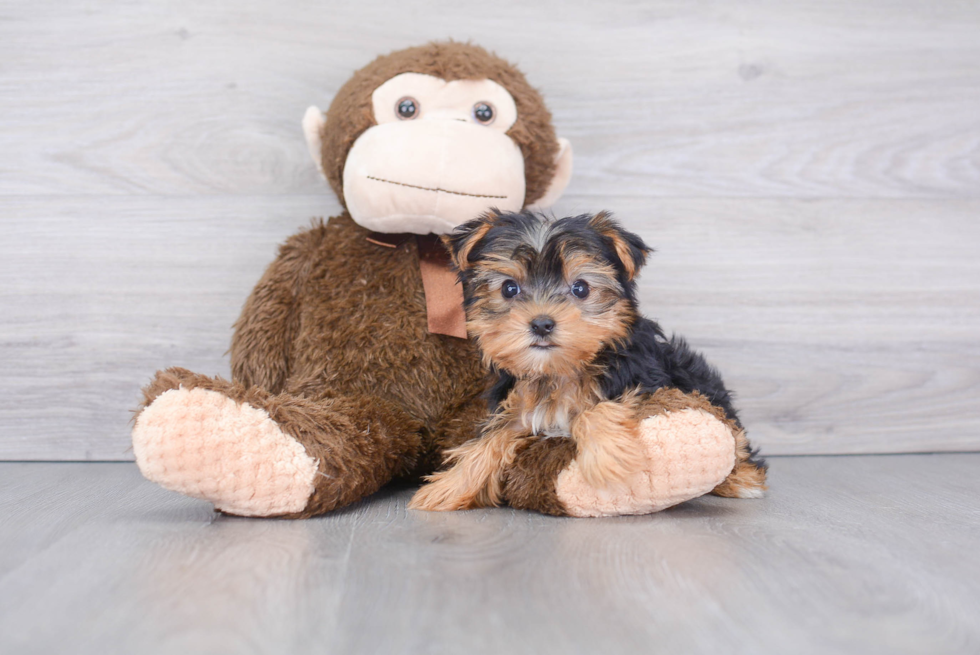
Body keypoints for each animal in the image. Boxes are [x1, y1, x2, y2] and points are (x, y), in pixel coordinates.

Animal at [406, 210, 764, 512]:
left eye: (580, 288)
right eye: (509, 288)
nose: (541, 323)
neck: (559, 371)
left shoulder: (650, 384)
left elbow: (595, 410)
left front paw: (607, 458)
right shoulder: (518, 407)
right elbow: (490, 438)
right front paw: (449, 486)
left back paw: (742, 479)